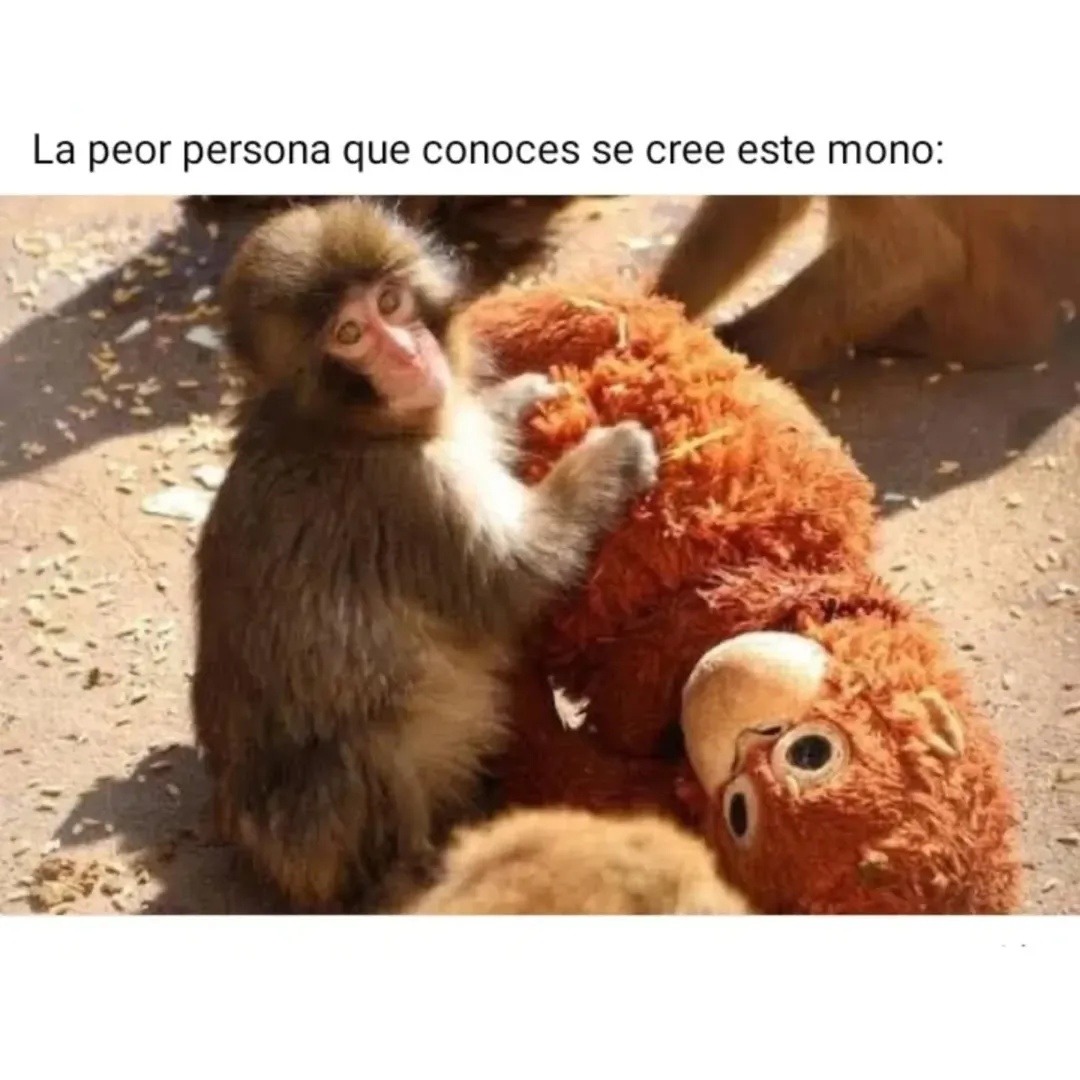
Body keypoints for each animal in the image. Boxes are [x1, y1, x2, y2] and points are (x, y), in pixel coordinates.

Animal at [191, 197, 660, 914]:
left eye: (391, 302)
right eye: (350, 334)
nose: (409, 354)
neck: (344, 428)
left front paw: (516, 401)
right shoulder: (406, 494)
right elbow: (512, 580)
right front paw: (611, 459)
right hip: (312, 842)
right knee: (361, 748)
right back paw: (413, 873)